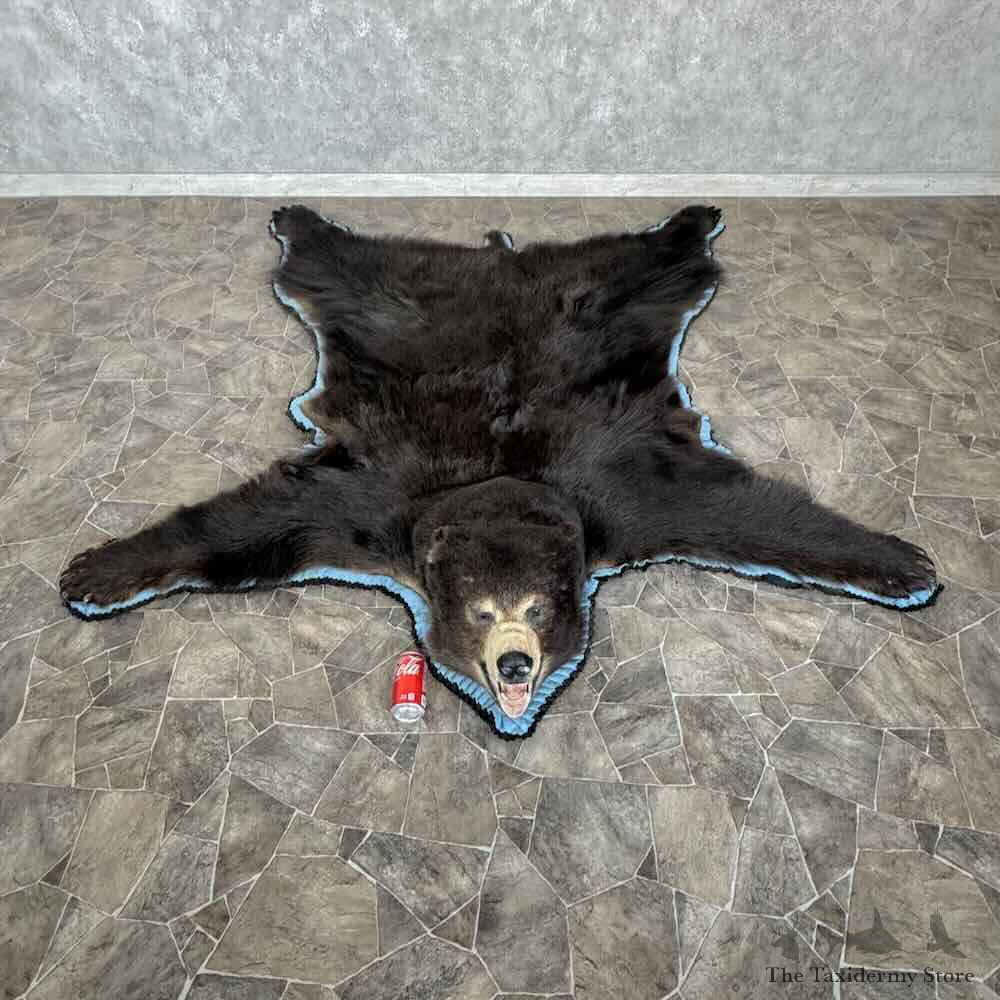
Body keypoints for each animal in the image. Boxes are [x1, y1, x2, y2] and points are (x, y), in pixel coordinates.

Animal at [60, 203, 938, 734]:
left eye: (540, 612)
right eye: (483, 613)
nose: (515, 664)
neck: (502, 488)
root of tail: (503, 260)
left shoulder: (627, 492)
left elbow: (748, 516)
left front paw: (901, 563)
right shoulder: (373, 504)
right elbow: (250, 528)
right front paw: (98, 572)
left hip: (606, 301)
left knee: (651, 267)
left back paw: (691, 219)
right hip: (394, 300)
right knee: (337, 268)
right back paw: (300, 218)